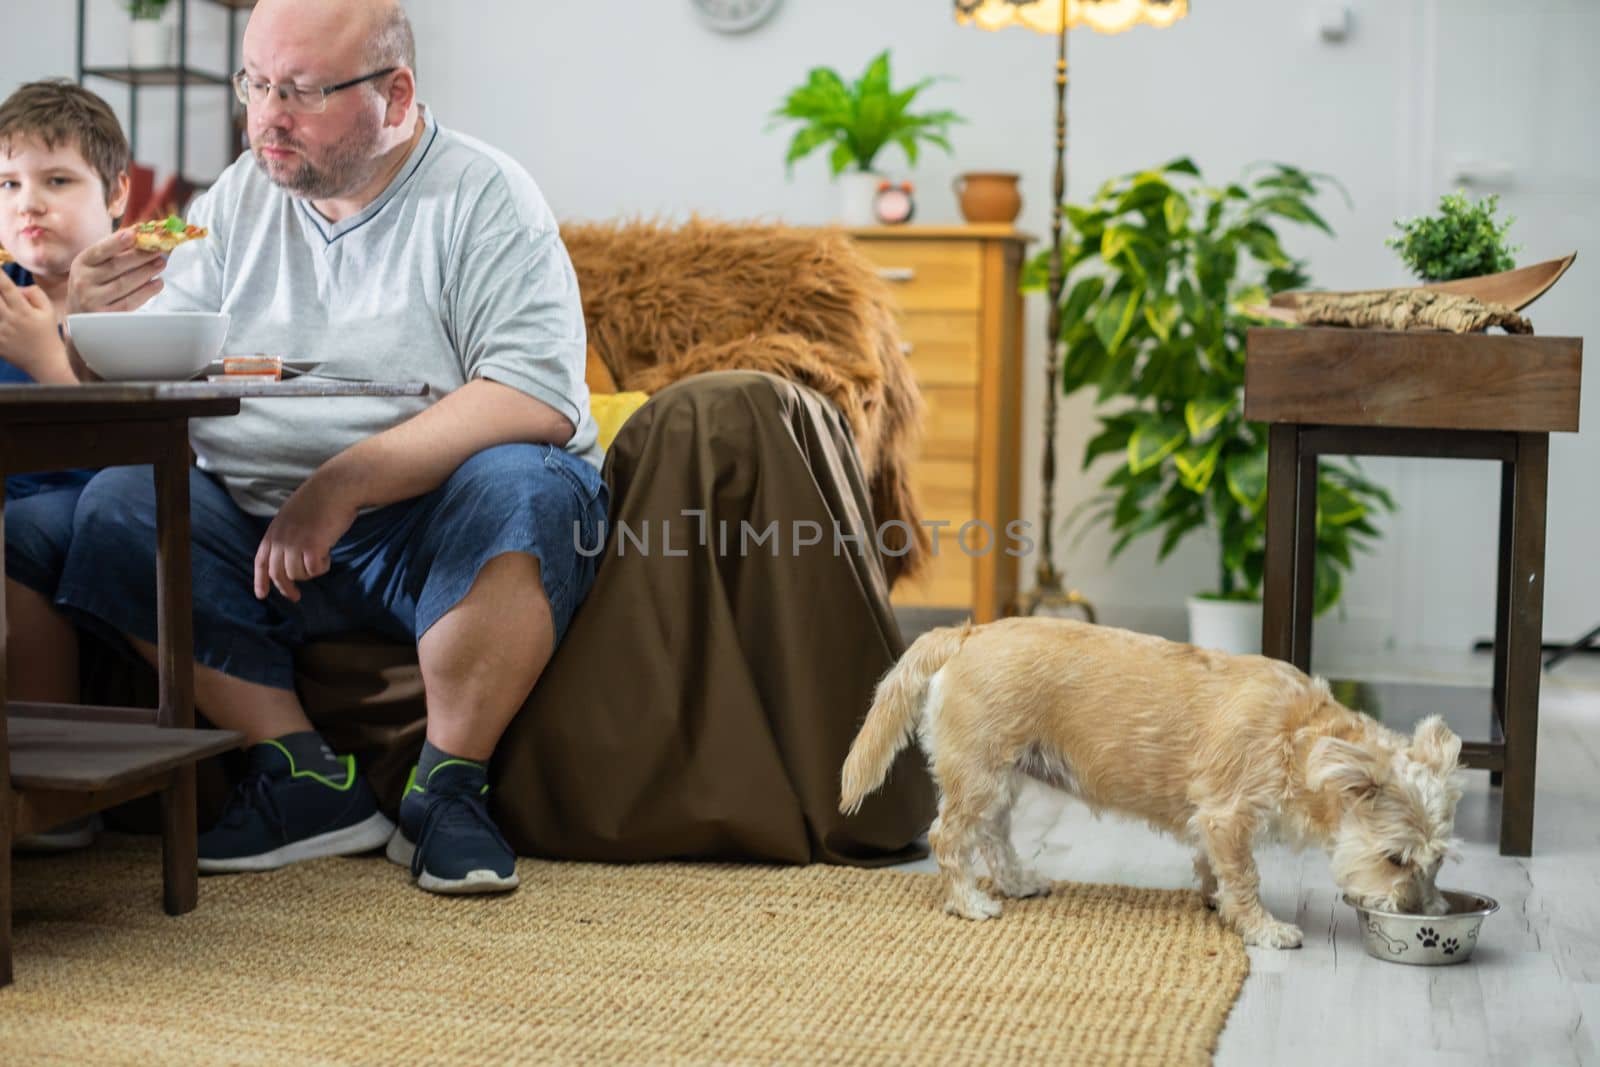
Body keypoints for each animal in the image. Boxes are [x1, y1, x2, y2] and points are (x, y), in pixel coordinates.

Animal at [844, 617, 1465, 953]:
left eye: (1437, 861)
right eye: (1393, 859)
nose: (1424, 914)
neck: (1298, 733)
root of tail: (968, 633)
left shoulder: (1212, 822)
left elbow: (1215, 868)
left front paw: (1215, 898)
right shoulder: (1227, 816)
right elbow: (1246, 878)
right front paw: (1263, 928)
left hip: (1003, 778)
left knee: (994, 838)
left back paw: (1017, 883)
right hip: (979, 777)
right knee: (948, 839)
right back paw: (969, 902)